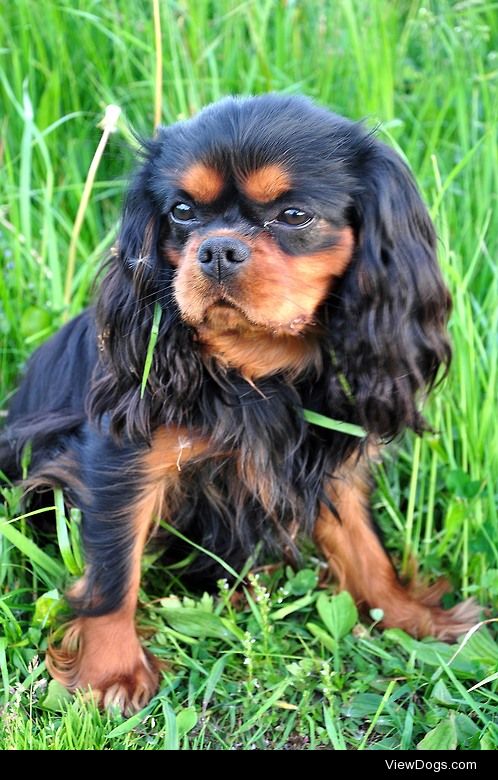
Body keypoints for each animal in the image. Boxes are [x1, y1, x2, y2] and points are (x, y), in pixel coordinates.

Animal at [0, 93, 478, 712]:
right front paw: (110, 672)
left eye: (294, 217)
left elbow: (366, 548)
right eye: (181, 212)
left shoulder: (324, 454)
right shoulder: (119, 460)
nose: (218, 248)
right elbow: (111, 570)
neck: (253, 366)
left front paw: (411, 618)